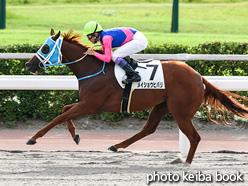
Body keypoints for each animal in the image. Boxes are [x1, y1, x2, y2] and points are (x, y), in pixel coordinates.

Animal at [25, 28, 248, 163]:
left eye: (45, 47)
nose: (28, 65)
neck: (93, 68)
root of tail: (199, 76)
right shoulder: (89, 105)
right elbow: (64, 111)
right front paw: (75, 136)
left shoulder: (90, 105)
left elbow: (58, 117)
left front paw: (33, 138)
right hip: (162, 105)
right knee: (149, 128)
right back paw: (116, 146)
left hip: (181, 112)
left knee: (194, 137)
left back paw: (186, 163)